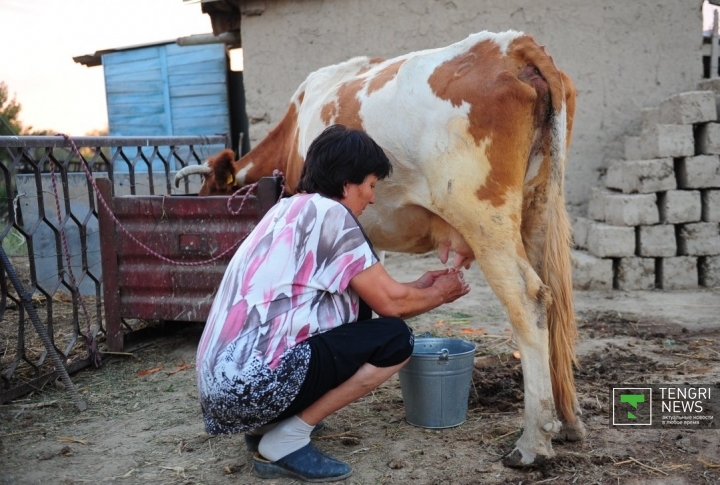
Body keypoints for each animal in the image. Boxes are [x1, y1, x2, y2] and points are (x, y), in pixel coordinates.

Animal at [176, 29, 584, 466]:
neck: (294, 131)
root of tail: (513, 44)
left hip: (484, 220)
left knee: (528, 300)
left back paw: (533, 442)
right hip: (539, 208)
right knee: (554, 298)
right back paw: (569, 422)